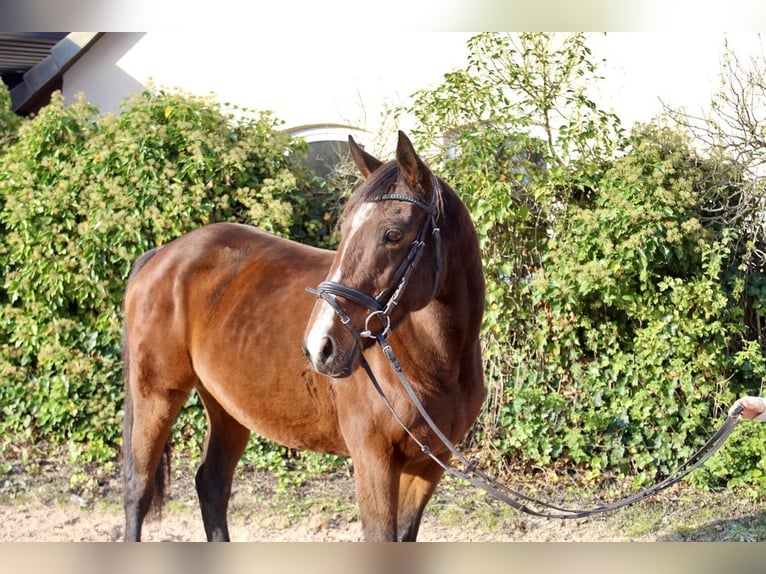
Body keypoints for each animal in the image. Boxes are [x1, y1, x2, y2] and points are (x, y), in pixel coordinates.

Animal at [124, 132, 488, 544]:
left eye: (393, 234)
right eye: (343, 230)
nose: (320, 346)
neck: (433, 363)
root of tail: (163, 254)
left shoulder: (428, 466)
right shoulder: (373, 460)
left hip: (225, 406)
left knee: (212, 485)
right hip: (156, 394)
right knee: (139, 489)